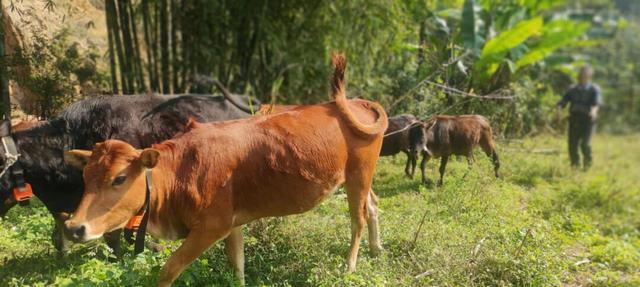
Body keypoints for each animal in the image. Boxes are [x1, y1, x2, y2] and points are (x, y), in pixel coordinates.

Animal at [62, 54, 388, 287]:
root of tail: (356, 102)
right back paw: (377, 250)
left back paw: (350, 267)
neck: (180, 172)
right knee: (373, 205)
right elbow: (237, 267)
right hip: (358, 176)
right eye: (85, 178)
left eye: (119, 178)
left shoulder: (212, 227)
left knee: (357, 219)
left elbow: (169, 269)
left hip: (358, 176)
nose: (74, 227)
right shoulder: (233, 224)